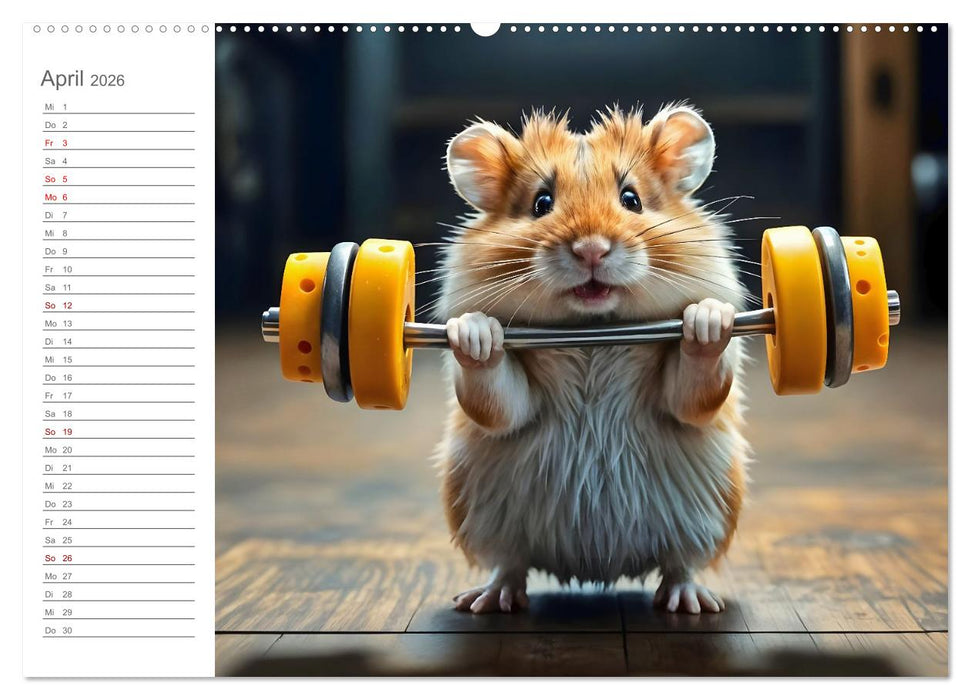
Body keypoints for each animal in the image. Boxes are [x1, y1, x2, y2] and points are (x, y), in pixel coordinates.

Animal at [432, 104, 751, 615]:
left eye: (631, 199)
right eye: (541, 202)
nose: (591, 250)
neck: (591, 334)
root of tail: (597, 570)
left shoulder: (689, 395)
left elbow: (694, 387)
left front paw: (706, 318)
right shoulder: (507, 403)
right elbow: (498, 399)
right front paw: (476, 331)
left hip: (714, 510)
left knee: (680, 564)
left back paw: (692, 603)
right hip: (476, 508)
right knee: (509, 563)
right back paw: (486, 600)